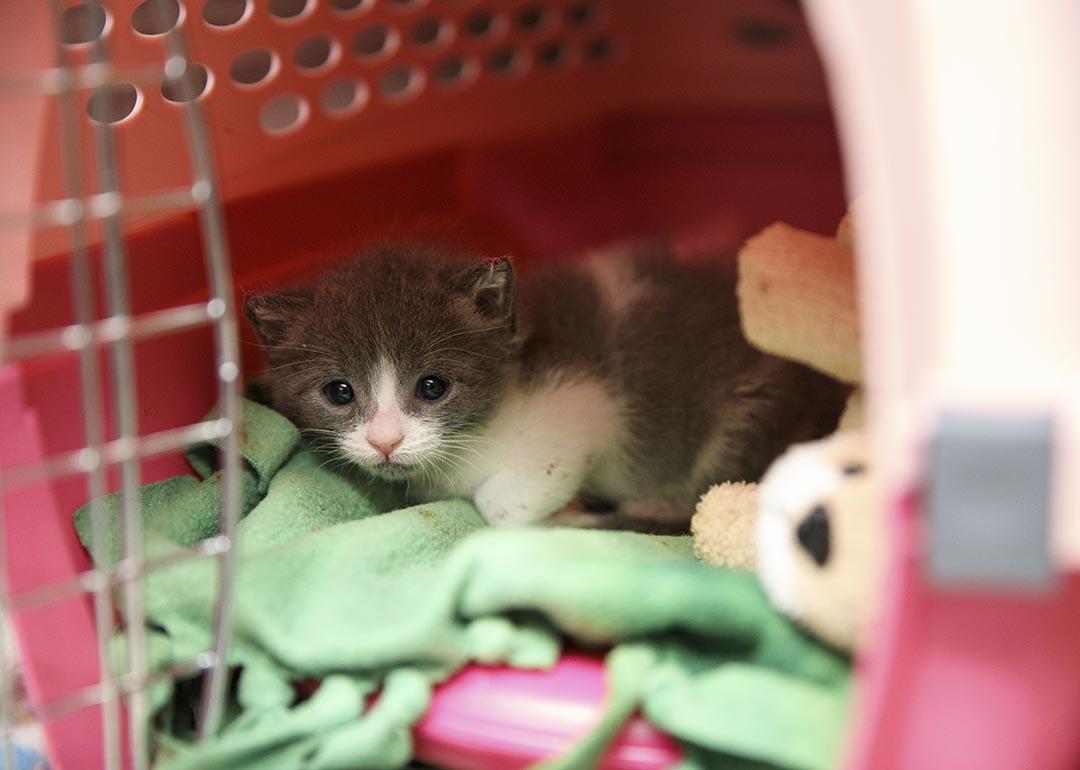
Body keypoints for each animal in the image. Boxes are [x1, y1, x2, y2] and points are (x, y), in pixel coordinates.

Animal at [245, 239, 842, 529]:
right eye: (339, 392)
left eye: (433, 386)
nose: (385, 441)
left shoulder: (584, 406)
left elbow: (502, 502)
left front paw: (565, 511)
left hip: (748, 417)